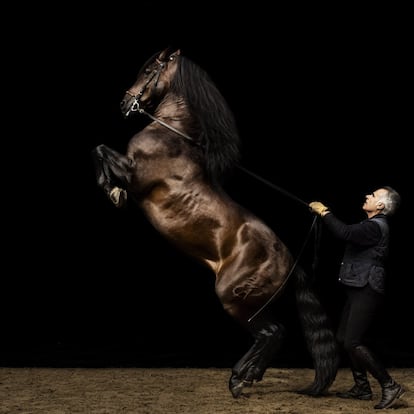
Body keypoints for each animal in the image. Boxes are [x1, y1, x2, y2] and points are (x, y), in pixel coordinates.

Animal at [90, 46, 336, 398]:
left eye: (149, 69)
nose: (125, 103)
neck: (171, 135)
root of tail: (292, 262)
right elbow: (100, 150)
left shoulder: (134, 174)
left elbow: (100, 151)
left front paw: (113, 192)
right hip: (251, 303)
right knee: (276, 333)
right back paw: (247, 377)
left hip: (234, 298)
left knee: (270, 332)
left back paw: (239, 379)